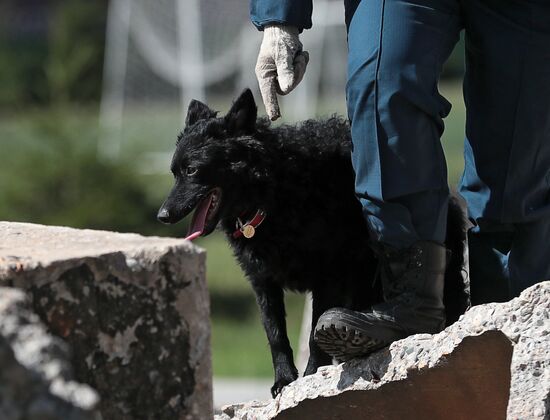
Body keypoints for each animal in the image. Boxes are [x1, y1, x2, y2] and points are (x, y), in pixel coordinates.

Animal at [158, 88, 470, 398]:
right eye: (173, 172)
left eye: (192, 170)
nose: (162, 216)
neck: (273, 192)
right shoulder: (262, 280)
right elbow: (275, 332)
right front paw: (284, 379)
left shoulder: (328, 277)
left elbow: (313, 334)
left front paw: (310, 377)